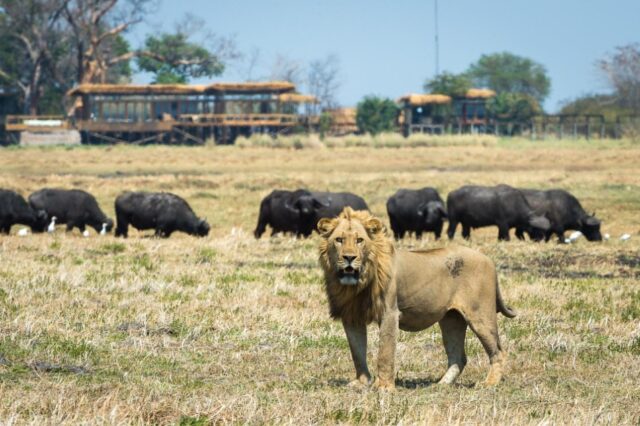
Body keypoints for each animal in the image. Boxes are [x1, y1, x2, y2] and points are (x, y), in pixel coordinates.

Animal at [318, 206, 516, 390]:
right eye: (339, 240)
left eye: (359, 240)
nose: (349, 257)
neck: (356, 285)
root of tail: (489, 260)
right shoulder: (351, 316)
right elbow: (357, 352)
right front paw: (361, 383)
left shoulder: (389, 313)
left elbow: (385, 352)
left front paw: (384, 387)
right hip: (451, 319)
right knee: (458, 357)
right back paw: (440, 384)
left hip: (480, 315)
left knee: (498, 351)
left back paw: (489, 383)